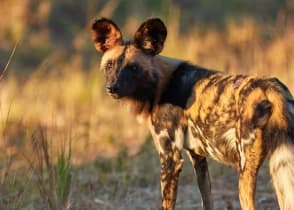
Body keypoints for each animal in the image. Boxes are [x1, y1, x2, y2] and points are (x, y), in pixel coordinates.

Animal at [90, 18, 294, 210]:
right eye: (109, 65)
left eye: (133, 68)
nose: (112, 88)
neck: (160, 85)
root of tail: (271, 88)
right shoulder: (198, 158)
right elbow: (207, 200)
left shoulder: (170, 158)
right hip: (282, 167)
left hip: (245, 172)